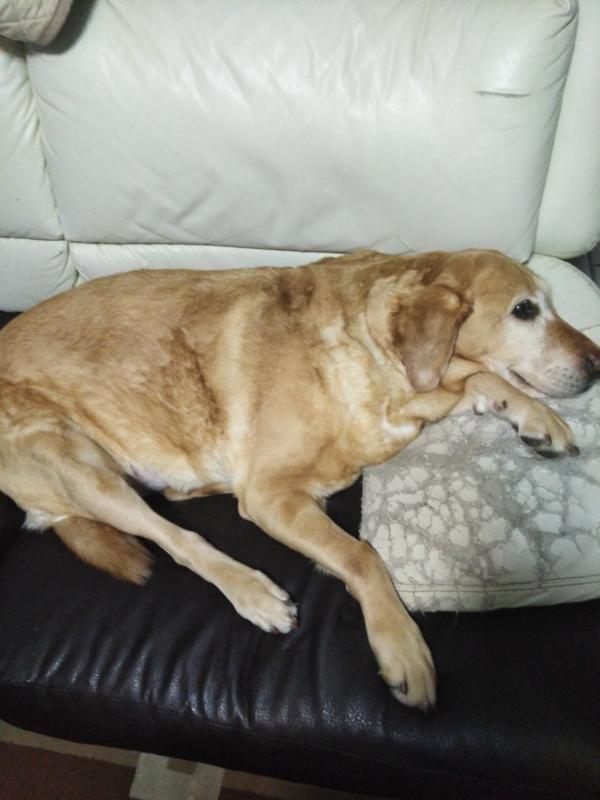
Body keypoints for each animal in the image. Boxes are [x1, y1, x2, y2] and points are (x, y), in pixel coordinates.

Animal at [0, 249, 598, 711]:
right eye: (524, 310)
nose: (597, 363)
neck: (375, 362)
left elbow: (487, 379)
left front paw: (539, 419)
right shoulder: (271, 496)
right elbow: (362, 556)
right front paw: (402, 646)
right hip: (73, 459)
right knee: (176, 537)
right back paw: (253, 593)